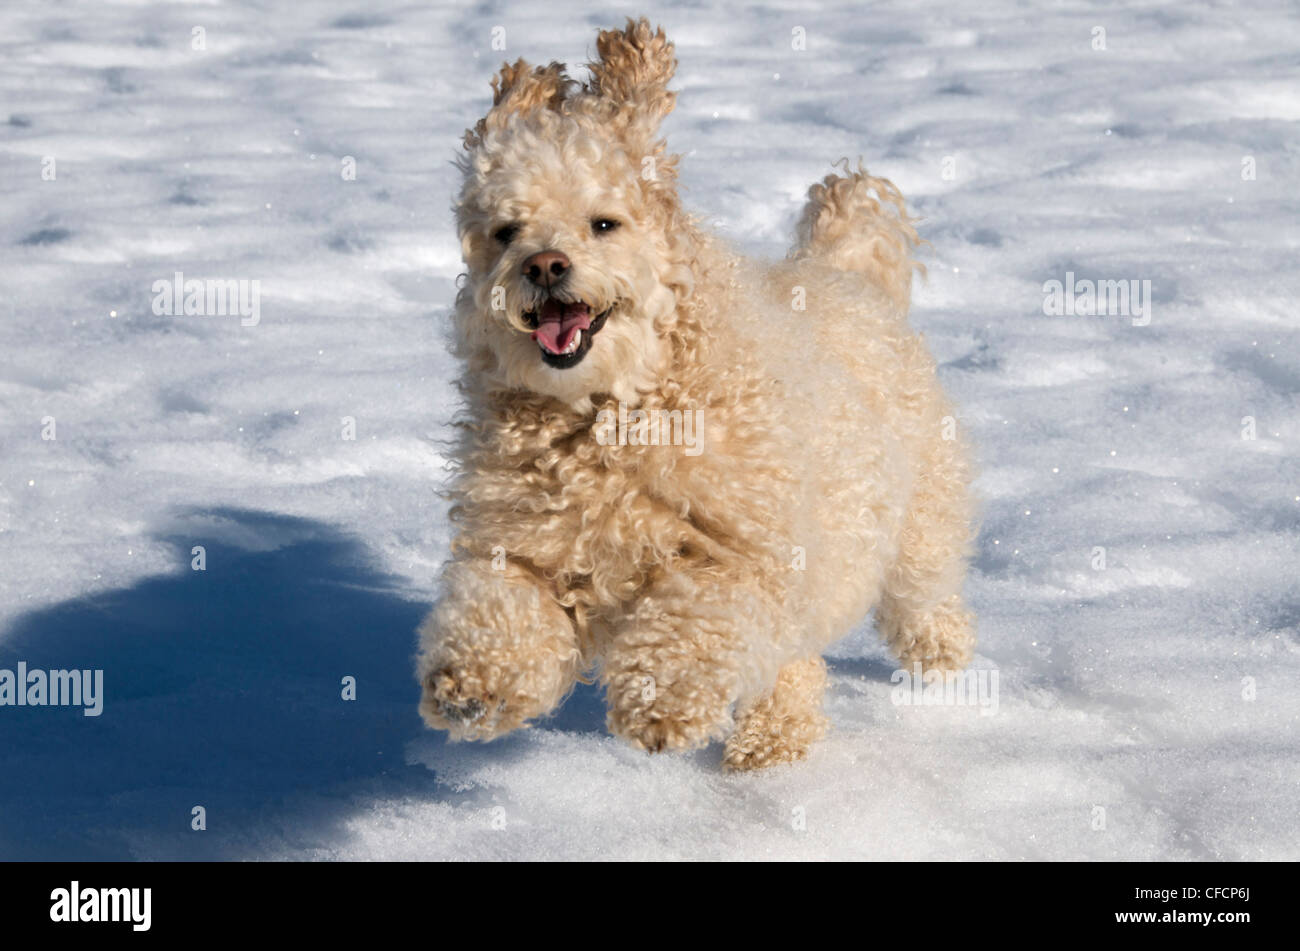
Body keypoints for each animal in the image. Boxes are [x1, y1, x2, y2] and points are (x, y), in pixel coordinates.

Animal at [416, 18, 977, 769]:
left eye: (603, 223)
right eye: (505, 231)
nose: (544, 265)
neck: (610, 413)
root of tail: (841, 270)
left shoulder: (740, 556)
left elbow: (692, 623)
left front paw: (663, 701)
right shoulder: (523, 547)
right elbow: (502, 610)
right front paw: (472, 684)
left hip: (917, 516)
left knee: (923, 588)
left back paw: (936, 653)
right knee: (794, 665)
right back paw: (773, 739)